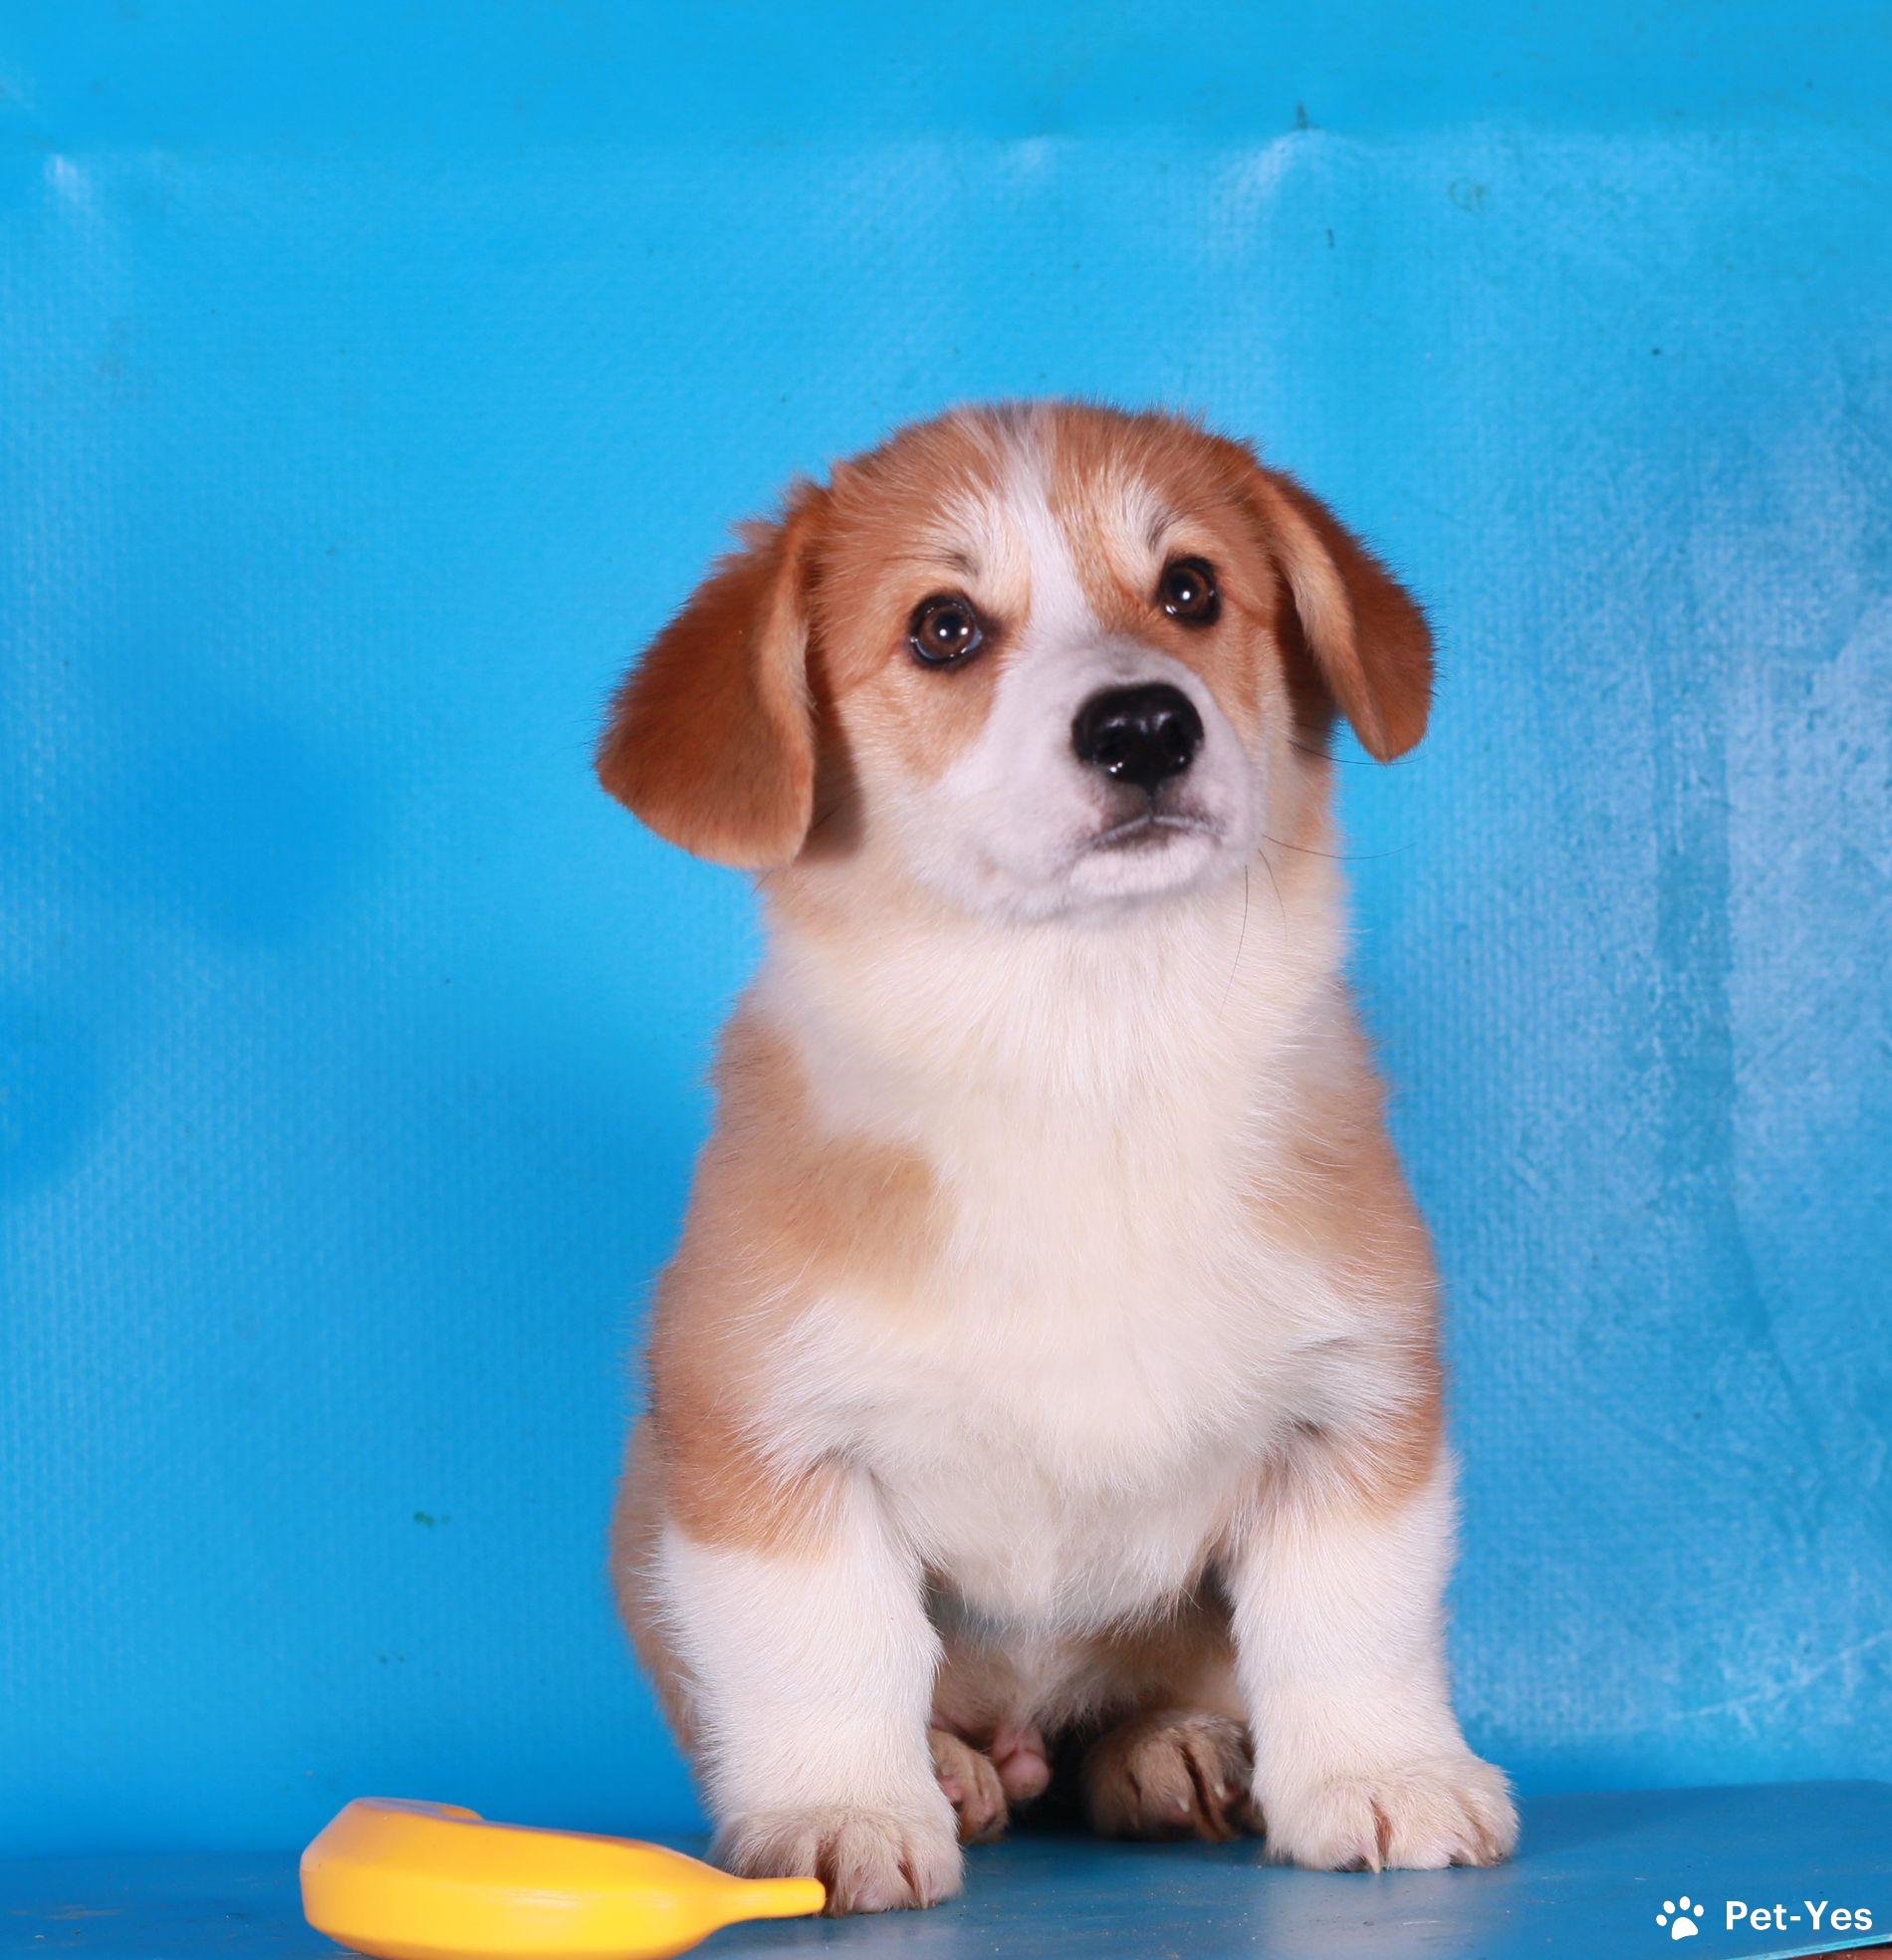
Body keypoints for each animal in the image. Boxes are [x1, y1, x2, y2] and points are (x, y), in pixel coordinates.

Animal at [598, 402, 1516, 1913]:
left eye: (1191, 590)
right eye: (945, 628)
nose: (1143, 724)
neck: (1088, 1052)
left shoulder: (1354, 1407)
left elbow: (1350, 1624)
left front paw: (1384, 1777)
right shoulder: (766, 1442)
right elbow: (825, 1648)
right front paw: (842, 1810)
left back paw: (1171, 1752)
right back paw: (959, 1769)